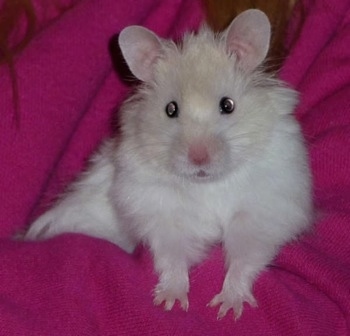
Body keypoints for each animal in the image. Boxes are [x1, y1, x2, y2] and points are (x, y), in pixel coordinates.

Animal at [26, 9, 314, 320]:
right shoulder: (163, 216)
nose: (198, 158)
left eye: (227, 105)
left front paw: (228, 307)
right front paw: (170, 301)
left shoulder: (260, 214)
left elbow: (244, 259)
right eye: (170, 109)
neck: (206, 183)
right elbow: (172, 259)